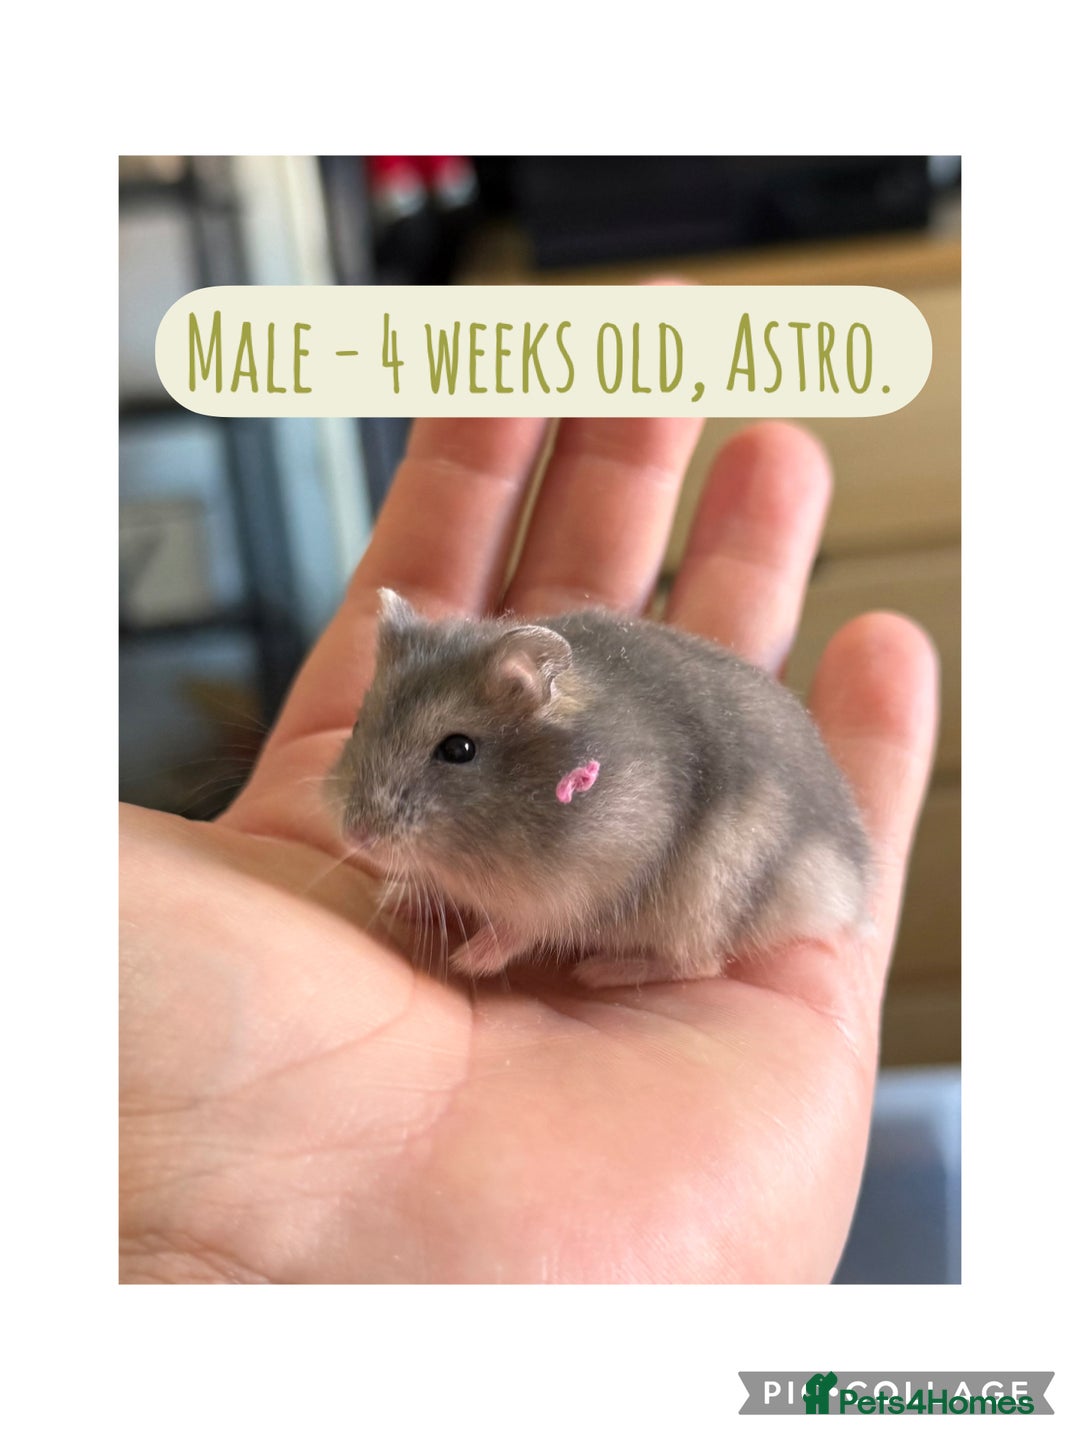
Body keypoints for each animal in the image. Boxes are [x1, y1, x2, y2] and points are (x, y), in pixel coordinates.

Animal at [328, 588, 871, 988]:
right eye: (356, 723)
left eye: (458, 749)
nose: (356, 836)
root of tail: (853, 887)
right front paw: (393, 896)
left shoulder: (585, 881)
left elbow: (524, 927)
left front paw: (469, 960)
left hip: (705, 903)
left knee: (699, 965)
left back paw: (600, 971)